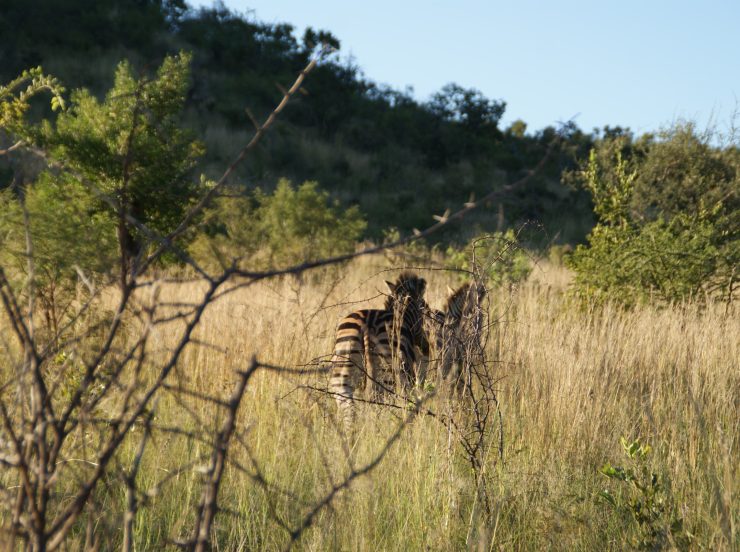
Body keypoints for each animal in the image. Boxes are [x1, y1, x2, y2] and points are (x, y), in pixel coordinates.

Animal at [328, 270, 430, 426]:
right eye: (424, 309)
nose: (425, 346)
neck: (403, 317)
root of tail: (367, 325)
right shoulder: (407, 378)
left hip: (342, 373)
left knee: (350, 411)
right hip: (387, 374)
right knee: (379, 405)